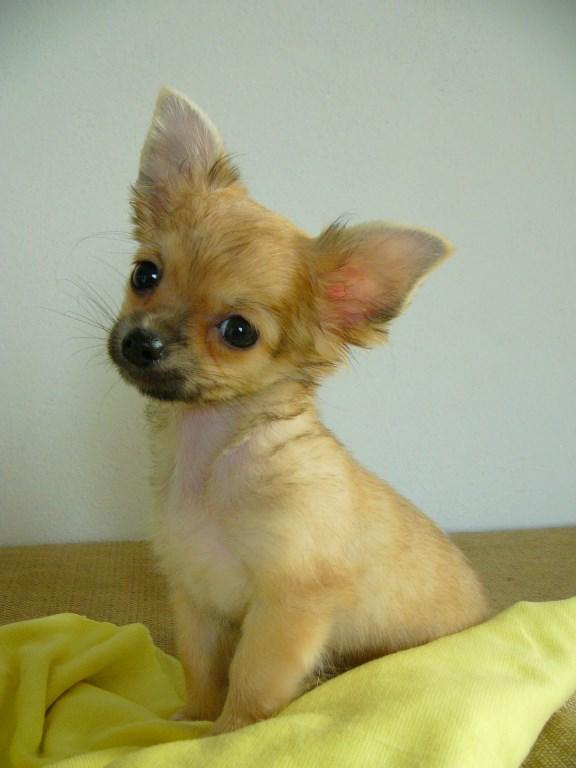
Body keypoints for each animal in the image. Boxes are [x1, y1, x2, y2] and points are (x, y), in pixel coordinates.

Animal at [108, 87, 488, 735]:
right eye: (144, 274)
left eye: (239, 332)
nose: (142, 342)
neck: (210, 455)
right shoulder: (196, 598)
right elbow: (202, 670)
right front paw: (190, 723)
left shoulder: (287, 606)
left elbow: (250, 682)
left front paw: (226, 735)